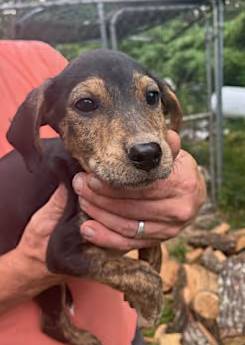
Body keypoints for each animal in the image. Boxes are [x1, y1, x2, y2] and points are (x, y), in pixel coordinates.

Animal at [0, 49, 182, 344]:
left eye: (153, 96)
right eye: (85, 104)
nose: (148, 153)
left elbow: (152, 251)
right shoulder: (61, 250)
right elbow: (137, 271)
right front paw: (150, 304)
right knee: (52, 323)